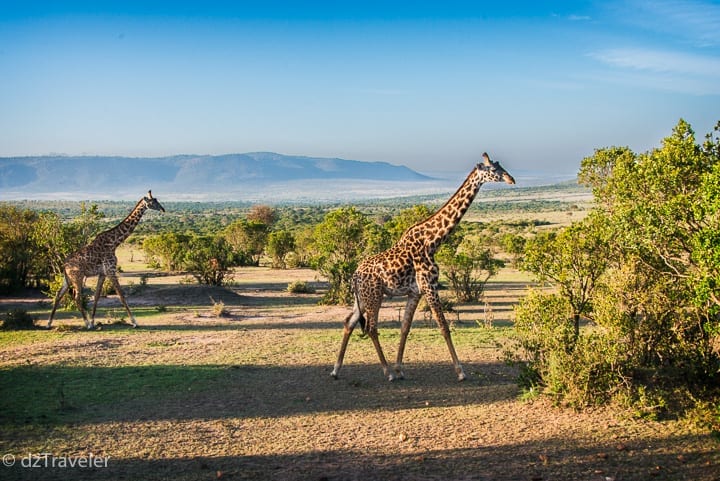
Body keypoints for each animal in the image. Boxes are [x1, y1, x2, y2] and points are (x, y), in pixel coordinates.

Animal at [47, 189, 166, 328]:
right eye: (153, 202)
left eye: (157, 200)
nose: (163, 209)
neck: (115, 242)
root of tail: (64, 265)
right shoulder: (111, 270)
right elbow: (121, 295)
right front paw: (134, 322)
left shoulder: (103, 273)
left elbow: (97, 296)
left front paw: (93, 321)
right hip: (77, 277)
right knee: (76, 297)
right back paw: (86, 323)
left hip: (67, 279)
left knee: (58, 295)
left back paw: (49, 323)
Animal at [330, 153, 516, 378]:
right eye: (494, 170)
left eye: (500, 166)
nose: (511, 179)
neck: (432, 241)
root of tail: (355, 275)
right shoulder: (430, 285)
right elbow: (443, 326)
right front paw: (460, 371)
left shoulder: (415, 292)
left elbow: (405, 328)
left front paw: (400, 369)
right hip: (374, 295)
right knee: (371, 328)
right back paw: (386, 372)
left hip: (363, 298)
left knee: (349, 322)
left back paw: (336, 369)